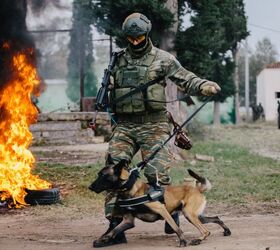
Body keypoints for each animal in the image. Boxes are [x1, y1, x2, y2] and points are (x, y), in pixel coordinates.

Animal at [90, 157, 232, 247]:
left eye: (103, 175)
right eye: (98, 174)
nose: (90, 187)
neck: (131, 190)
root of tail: (197, 188)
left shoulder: (162, 210)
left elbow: (176, 228)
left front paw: (183, 241)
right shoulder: (127, 221)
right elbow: (114, 230)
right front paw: (103, 239)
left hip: (189, 214)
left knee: (206, 231)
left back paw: (197, 240)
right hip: (196, 216)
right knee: (216, 218)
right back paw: (226, 231)